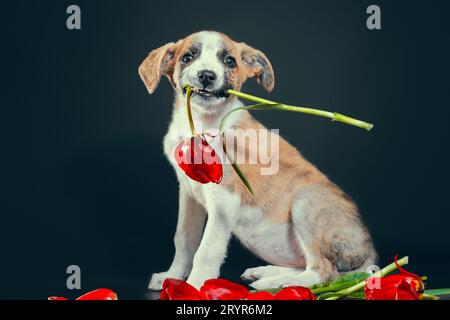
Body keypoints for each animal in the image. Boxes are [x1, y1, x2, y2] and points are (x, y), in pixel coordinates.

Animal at [138, 30, 376, 290]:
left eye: (230, 61)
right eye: (187, 57)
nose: (207, 76)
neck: (200, 124)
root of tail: (371, 252)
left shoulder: (224, 200)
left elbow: (207, 250)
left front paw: (195, 285)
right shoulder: (189, 194)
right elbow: (184, 238)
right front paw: (172, 275)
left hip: (306, 201)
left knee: (323, 272)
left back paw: (277, 283)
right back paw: (265, 273)